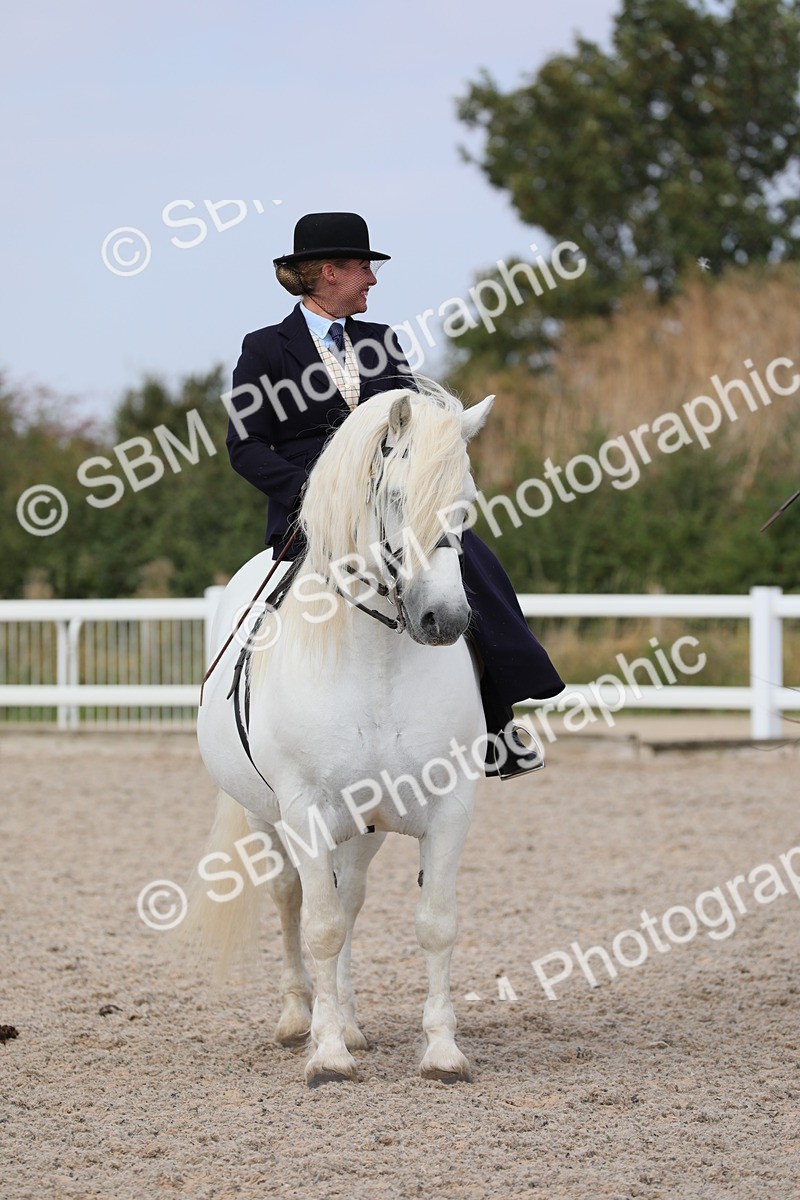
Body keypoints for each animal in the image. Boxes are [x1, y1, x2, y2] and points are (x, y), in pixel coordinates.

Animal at [189, 383, 494, 1086]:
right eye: (397, 497)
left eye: (466, 504)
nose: (443, 620)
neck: (378, 661)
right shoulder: (303, 810)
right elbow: (320, 925)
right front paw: (325, 1055)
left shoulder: (451, 806)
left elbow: (435, 923)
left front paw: (441, 1051)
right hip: (266, 817)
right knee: (290, 900)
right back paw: (299, 1019)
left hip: (364, 824)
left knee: (349, 897)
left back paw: (352, 1023)